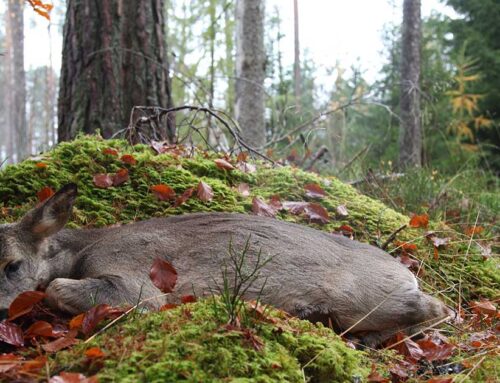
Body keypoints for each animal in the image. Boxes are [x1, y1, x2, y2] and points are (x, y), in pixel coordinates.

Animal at [0, 184, 454, 346]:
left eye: (12, 265)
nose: (3, 310)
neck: (83, 248)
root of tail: (405, 269)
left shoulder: (135, 280)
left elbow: (56, 287)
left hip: (367, 297)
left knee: (441, 309)